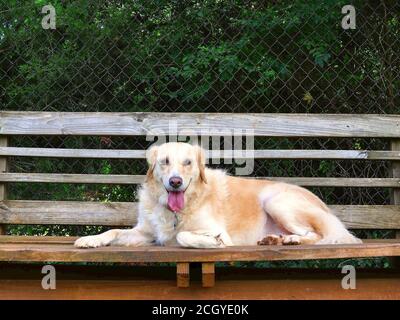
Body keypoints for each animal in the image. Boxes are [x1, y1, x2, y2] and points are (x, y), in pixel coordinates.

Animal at [73, 141, 360, 249]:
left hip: (277, 201)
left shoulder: (213, 228)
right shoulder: (145, 232)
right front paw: (90, 239)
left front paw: (212, 242)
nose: (175, 182)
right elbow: (113, 232)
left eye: (188, 163)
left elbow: (186, 236)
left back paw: (290, 240)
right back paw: (275, 239)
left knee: (317, 235)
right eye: (165, 162)